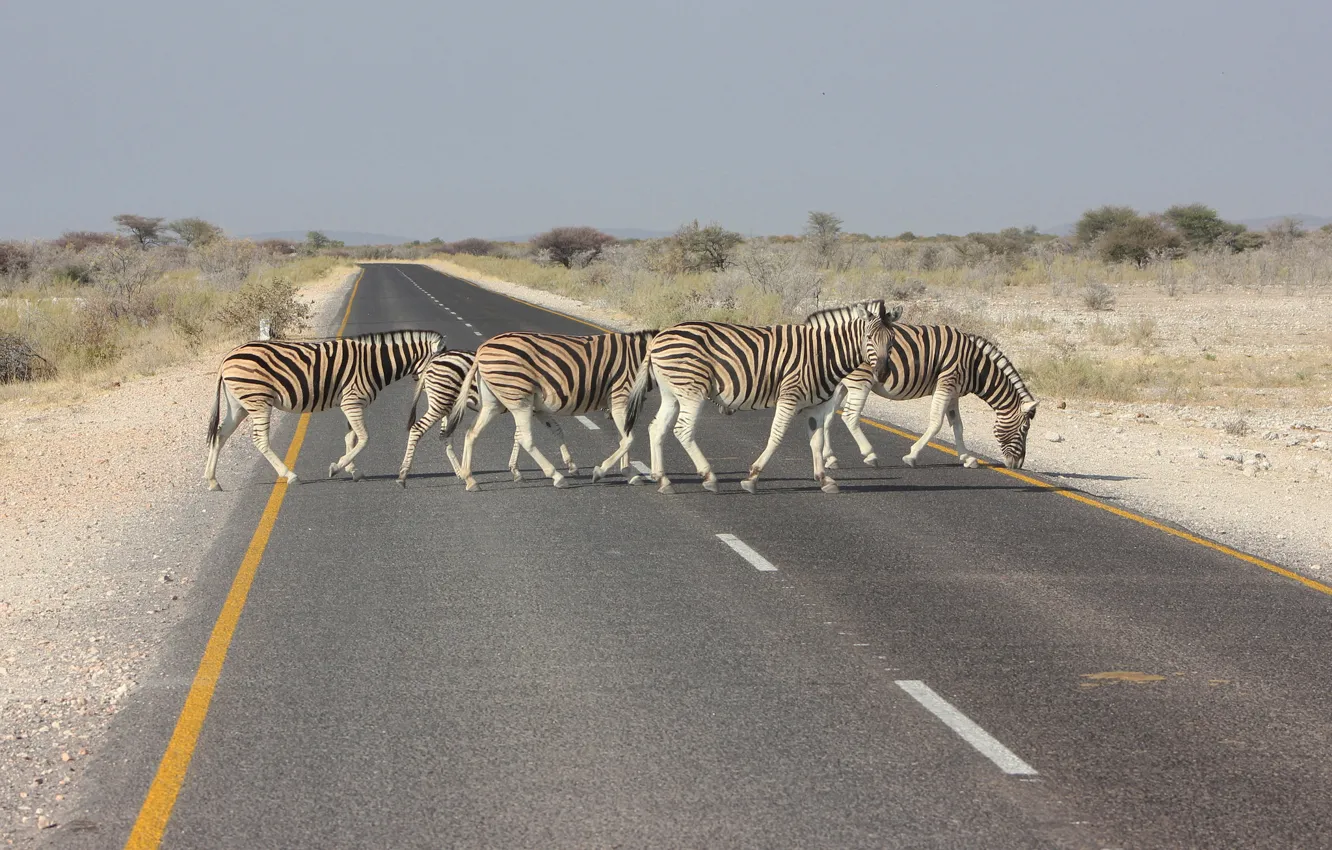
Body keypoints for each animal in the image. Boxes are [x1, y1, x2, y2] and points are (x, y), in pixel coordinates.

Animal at [202, 333, 442, 492]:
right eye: (437, 364)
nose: (437, 387)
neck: (374, 364)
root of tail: (227, 357)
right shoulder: (352, 402)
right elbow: (364, 438)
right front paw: (337, 468)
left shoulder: (350, 404)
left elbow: (351, 437)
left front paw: (352, 470)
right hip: (257, 400)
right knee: (259, 440)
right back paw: (290, 475)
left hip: (239, 404)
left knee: (220, 434)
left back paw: (212, 480)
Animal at [396, 349, 580, 490]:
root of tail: (432, 361)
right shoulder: (530, 408)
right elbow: (523, 436)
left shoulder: (530, 409)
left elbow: (553, 430)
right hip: (441, 401)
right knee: (417, 429)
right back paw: (403, 475)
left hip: (448, 405)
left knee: (444, 436)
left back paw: (461, 473)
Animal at [447, 331, 655, 492]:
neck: (641, 359)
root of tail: (482, 349)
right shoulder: (621, 397)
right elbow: (628, 439)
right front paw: (601, 472)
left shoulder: (619, 404)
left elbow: (623, 438)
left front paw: (629, 474)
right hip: (518, 398)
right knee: (525, 439)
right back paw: (557, 476)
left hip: (493, 403)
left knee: (472, 433)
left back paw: (470, 479)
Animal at [599, 301, 900, 495]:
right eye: (868, 337)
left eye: (892, 340)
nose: (883, 372)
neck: (822, 354)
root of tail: (657, 338)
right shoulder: (789, 396)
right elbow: (776, 437)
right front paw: (752, 478)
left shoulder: (817, 406)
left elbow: (817, 441)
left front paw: (825, 480)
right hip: (691, 389)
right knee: (682, 430)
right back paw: (708, 476)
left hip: (672, 392)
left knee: (656, 428)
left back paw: (663, 480)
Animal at [820, 326, 1038, 474]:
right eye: (1025, 429)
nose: (1018, 465)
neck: (974, 366)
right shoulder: (946, 383)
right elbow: (936, 423)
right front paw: (912, 456)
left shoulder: (953, 392)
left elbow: (958, 426)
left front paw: (968, 458)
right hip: (861, 381)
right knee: (849, 417)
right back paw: (870, 455)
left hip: (842, 384)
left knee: (828, 417)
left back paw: (830, 459)